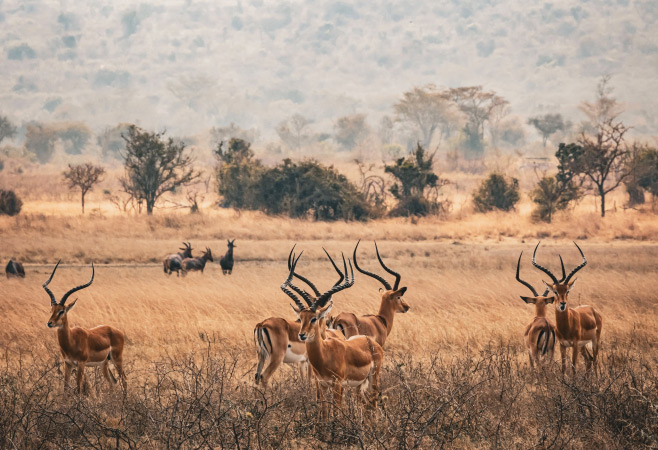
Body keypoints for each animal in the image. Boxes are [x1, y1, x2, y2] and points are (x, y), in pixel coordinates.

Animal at [44, 261, 127, 394]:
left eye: (62, 311)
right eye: (52, 310)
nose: (50, 323)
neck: (71, 340)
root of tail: (116, 330)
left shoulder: (81, 364)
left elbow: (78, 388)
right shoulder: (68, 364)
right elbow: (65, 388)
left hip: (117, 359)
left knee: (124, 380)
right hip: (104, 363)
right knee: (113, 382)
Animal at [253, 247, 345, 387]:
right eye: (321, 316)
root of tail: (262, 324)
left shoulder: (301, 362)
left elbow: (303, 381)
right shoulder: (309, 362)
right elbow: (310, 380)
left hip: (261, 356)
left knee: (257, 377)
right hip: (276, 358)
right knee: (264, 377)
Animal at [288, 254, 384, 420]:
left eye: (314, 318)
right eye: (301, 317)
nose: (302, 335)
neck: (325, 354)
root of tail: (371, 342)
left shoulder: (337, 385)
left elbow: (336, 413)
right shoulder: (321, 384)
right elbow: (324, 413)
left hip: (373, 379)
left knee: (374, 405)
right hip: (359, 386)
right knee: (365, 406)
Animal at [532, 241, 603, 375]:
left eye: (567, 291)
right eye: (555, 291)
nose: (563, 304)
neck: (566, 326)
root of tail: (593, 310)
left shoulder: (574, 344)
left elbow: (573, 368)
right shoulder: (562, 345)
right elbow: (564, 368)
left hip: (595, 340)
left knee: (595, 360)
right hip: (583, 346)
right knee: (589, 360)